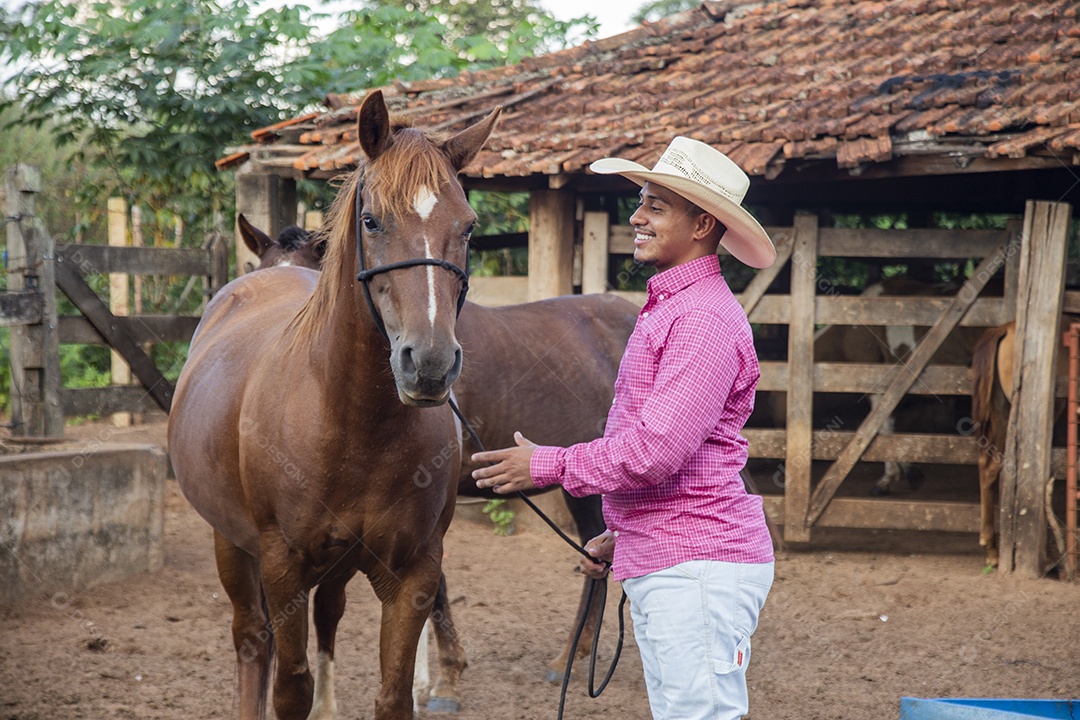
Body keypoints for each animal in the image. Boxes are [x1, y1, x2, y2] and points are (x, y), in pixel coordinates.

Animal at [168, 90, 501, 720]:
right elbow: (288, 686)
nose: (429, 363)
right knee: (252, 641)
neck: (351, 419)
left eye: (468, 228)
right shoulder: (282, 564)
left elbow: (392, 692)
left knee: (323, 616)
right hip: (231, 544)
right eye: (372, 220)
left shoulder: (413, 572)